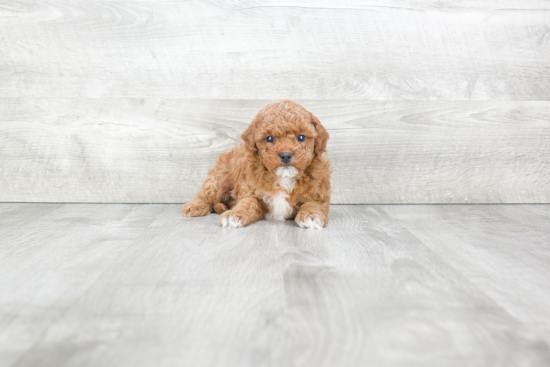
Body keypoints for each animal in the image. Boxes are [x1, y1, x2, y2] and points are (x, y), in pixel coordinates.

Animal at [183, 99, 334, 229]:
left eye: (301, 137)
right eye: (270, 138)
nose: (285, 155)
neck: (284, 177)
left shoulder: (318, 194)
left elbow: (313, 204)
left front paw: (311, 215)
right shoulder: (251, 191)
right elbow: (247, 203)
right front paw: (235, 214)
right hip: (220, 176)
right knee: (206, 194)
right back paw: (194, 207)